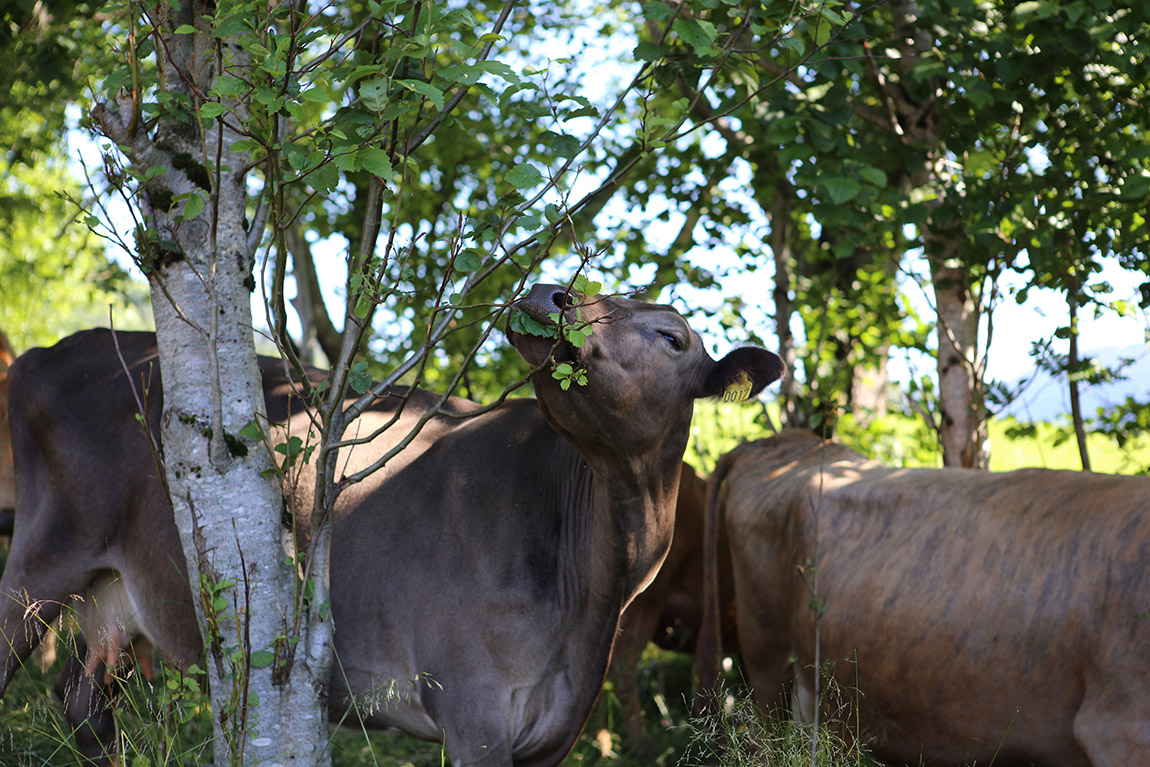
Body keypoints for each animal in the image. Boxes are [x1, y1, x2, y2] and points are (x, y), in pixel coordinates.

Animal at [0, 286, 786, 767]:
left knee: (83, 700)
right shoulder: (473, 709)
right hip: (41, 559)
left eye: (672, 337)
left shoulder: (555, 728)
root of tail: (52, 349)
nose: (553, 293)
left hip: (114, 594)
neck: (595, 589)